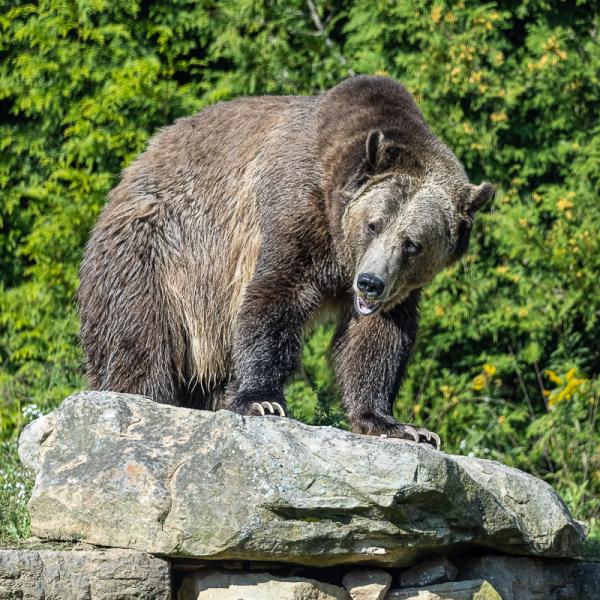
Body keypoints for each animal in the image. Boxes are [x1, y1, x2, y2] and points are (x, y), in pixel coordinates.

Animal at [78, 75, 492, 448]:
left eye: (412, 244)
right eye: (373, 224)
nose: (370, 283)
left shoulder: (394, 289)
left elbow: (376, 337)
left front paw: (396, 424)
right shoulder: (296, 207)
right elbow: (276, 295)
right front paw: (262, 400)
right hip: (158, 257)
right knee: (138, 338)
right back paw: (135, 394)